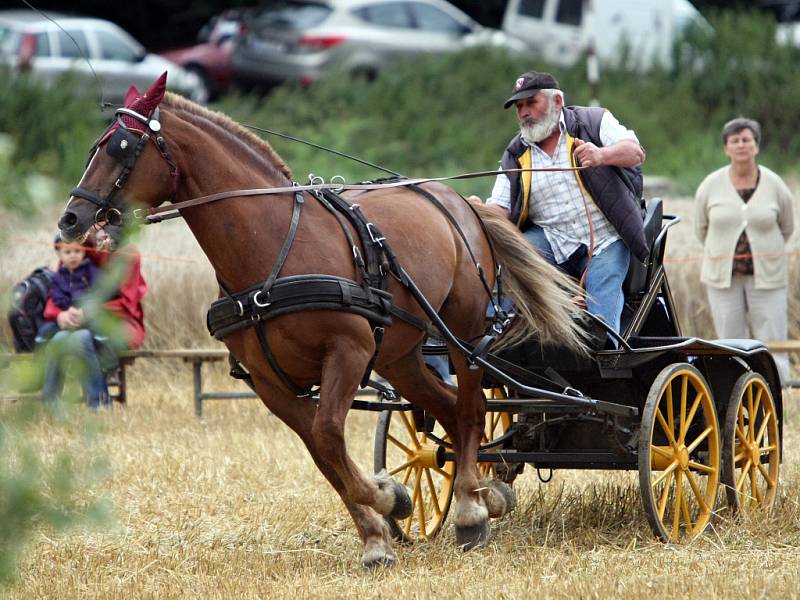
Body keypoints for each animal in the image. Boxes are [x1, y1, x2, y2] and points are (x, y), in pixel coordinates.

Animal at [56, 75, 580, 568]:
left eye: (123, 146)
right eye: (97, 144)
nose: (71, 219)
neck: (271, 250)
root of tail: (459, 200)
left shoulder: (348, 351)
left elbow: (328, 432)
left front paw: (388, 500)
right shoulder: (268, 381)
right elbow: (321, 451)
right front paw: (379, 530)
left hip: (465, 333)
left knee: (471, 408)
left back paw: (473, 508)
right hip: (400, 356)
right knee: (449, 411)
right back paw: (481, 497)